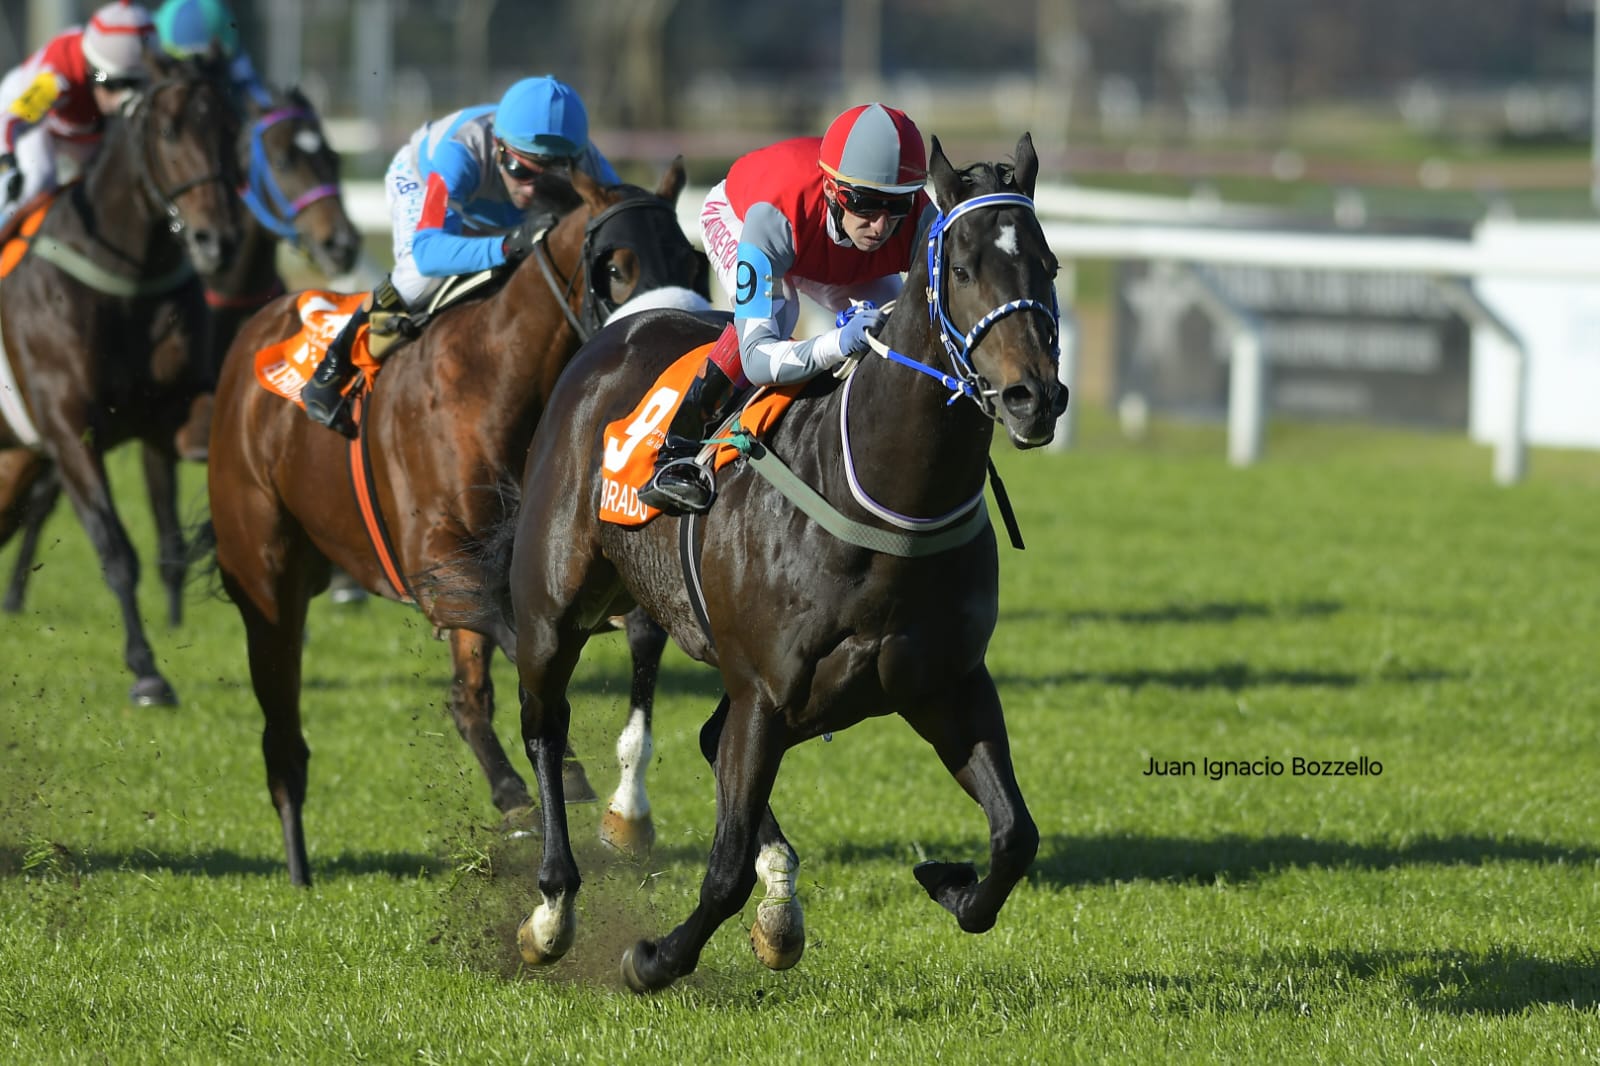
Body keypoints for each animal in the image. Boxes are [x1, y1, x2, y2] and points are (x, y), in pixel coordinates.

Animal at [0, 56, 240, 704]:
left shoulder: (169, 417)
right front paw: (147, 671)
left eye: (233, 127)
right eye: (169, 132)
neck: (125, 277)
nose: (217, 242)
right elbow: (115, 550)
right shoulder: (67, 429)